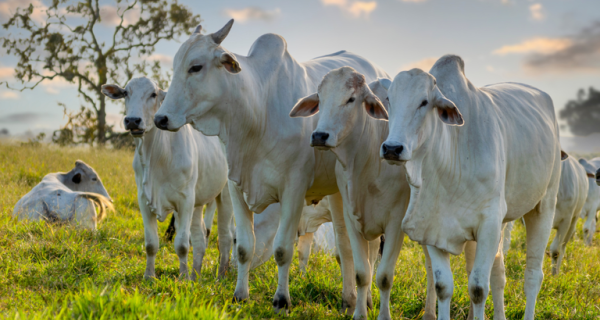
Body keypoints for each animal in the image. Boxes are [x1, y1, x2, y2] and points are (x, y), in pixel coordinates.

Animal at [102, 77, 233, 280]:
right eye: (125, 93)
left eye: (153, 94)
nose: (132, 120)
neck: (156, 156)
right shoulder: (144, 200)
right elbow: (151, 243)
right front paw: (149, 276)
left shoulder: (185, 201)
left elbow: (182, 244)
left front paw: (183, 278)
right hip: (198, 202)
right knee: (200, 237)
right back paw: (196, 275)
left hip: (225, 195)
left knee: (225, 237)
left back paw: (220, 276)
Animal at [154, 19, 390, 312]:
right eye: (175, 65)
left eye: (196, 67)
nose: (160, 118)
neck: (258, 109)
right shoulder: (235, 187)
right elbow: (245, 247)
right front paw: (240, 295)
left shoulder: (293, 190)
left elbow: (282, 250)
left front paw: (281, 300)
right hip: (338, 192)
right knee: (346, 246)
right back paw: (349, 299)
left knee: (366, 250)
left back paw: (362, 300)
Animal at [376, 55, 564, 320]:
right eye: (389, 100)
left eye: (424, 102)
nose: (392, 148)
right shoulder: (431, 227)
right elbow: (443, 286)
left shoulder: (489, 225)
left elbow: (477, 289)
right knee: (498, 271)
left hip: (543, 206)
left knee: (533, 276)